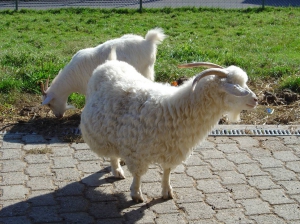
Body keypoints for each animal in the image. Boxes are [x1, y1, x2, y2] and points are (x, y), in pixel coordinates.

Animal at [79, 58, 258, 202]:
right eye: (236, 87)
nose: (256, 99)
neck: (174, 109)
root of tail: (109, 63)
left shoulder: (172, 149)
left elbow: (167, 171)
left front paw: (167, 191)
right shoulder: (137, 152)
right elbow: (138, 175)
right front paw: (136, 194)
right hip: (103, 133)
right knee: (112, 154)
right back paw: (117, 169)